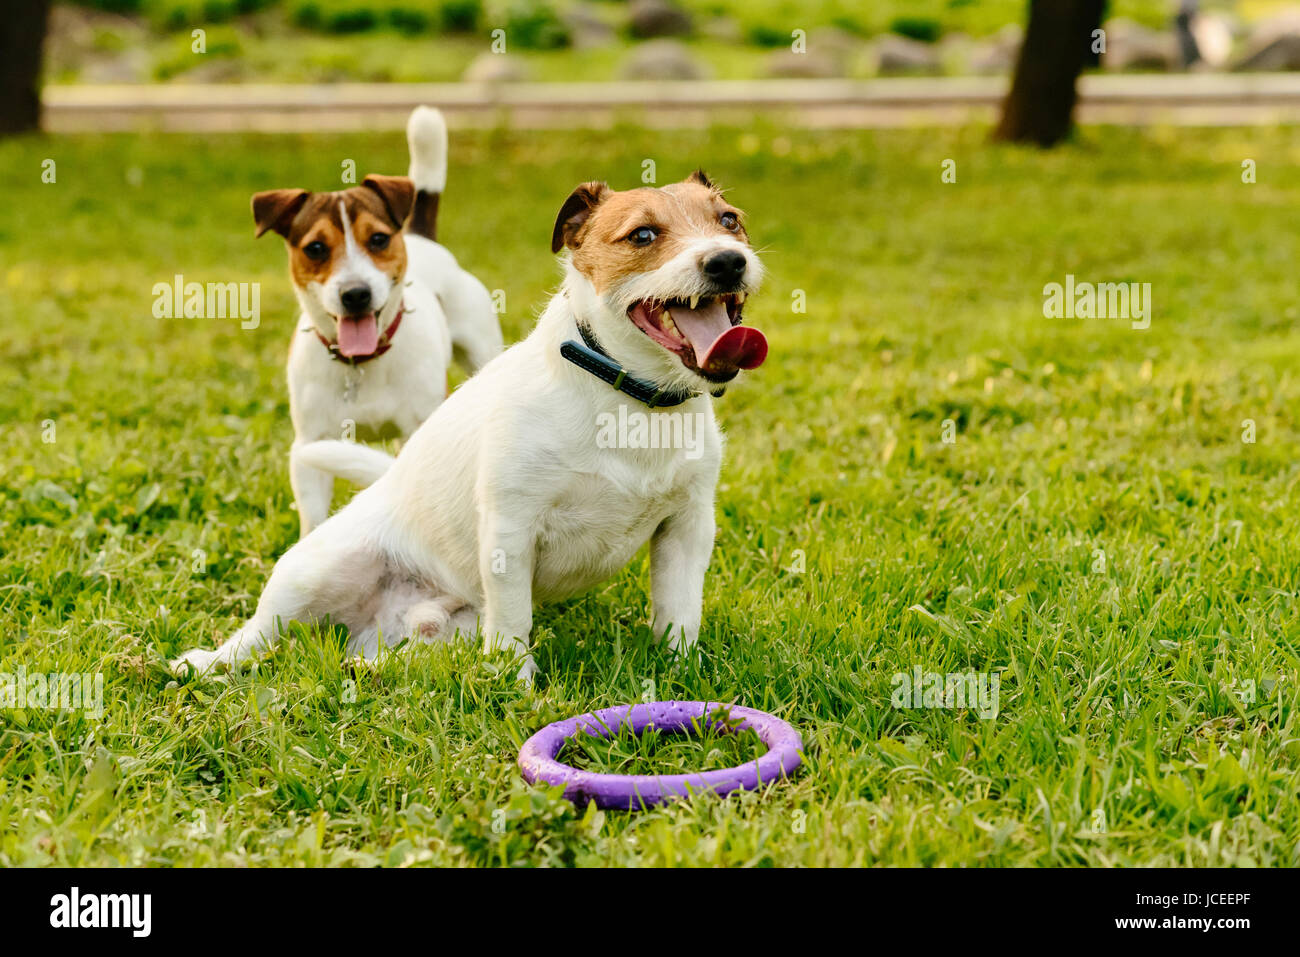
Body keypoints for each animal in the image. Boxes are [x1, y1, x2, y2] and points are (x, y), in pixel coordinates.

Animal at [174, 170, 764, 681]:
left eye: (730, 220)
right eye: (642, 234)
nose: (728, 262)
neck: (631, 398)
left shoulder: (687, 528)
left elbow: (679, 613)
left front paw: (682, 676)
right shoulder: (510, 530)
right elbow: (513, 625)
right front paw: (518, 690)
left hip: (446, 630)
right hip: (310, 572)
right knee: (261, 632)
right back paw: (204, 663)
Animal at [253, 110, 501, 538]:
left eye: (379, 239)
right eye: (315, 248)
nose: (356, 294)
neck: (362, 364)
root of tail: (423, 239)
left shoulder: (418, 430)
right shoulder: (310, 448)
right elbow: (314, 519)